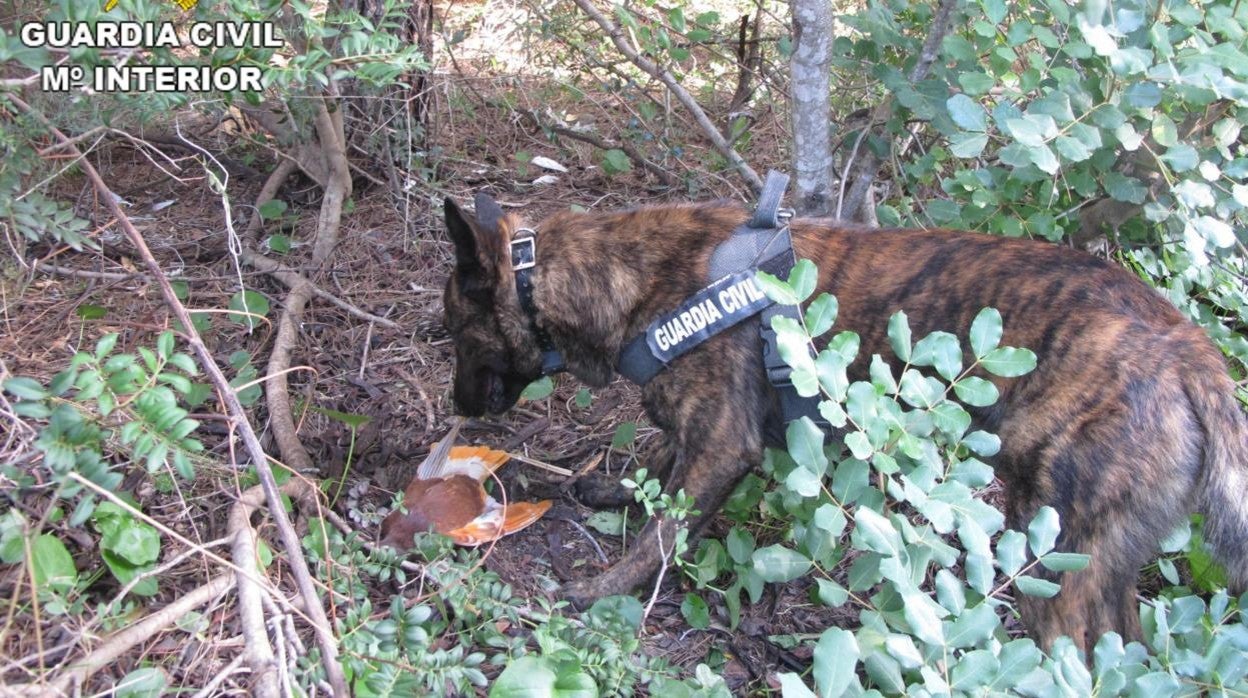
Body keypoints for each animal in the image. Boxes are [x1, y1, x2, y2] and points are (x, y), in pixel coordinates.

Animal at [439, 192, 1248, 649]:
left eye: (451, 330)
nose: (456, 408)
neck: (620, 280)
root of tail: (1188, 349)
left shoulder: (721, 444)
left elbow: (663, 533)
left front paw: (602, 590)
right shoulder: (699, 437)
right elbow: (660, 470)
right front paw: (618, 489)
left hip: (1051, 562)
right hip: (1104, 567)